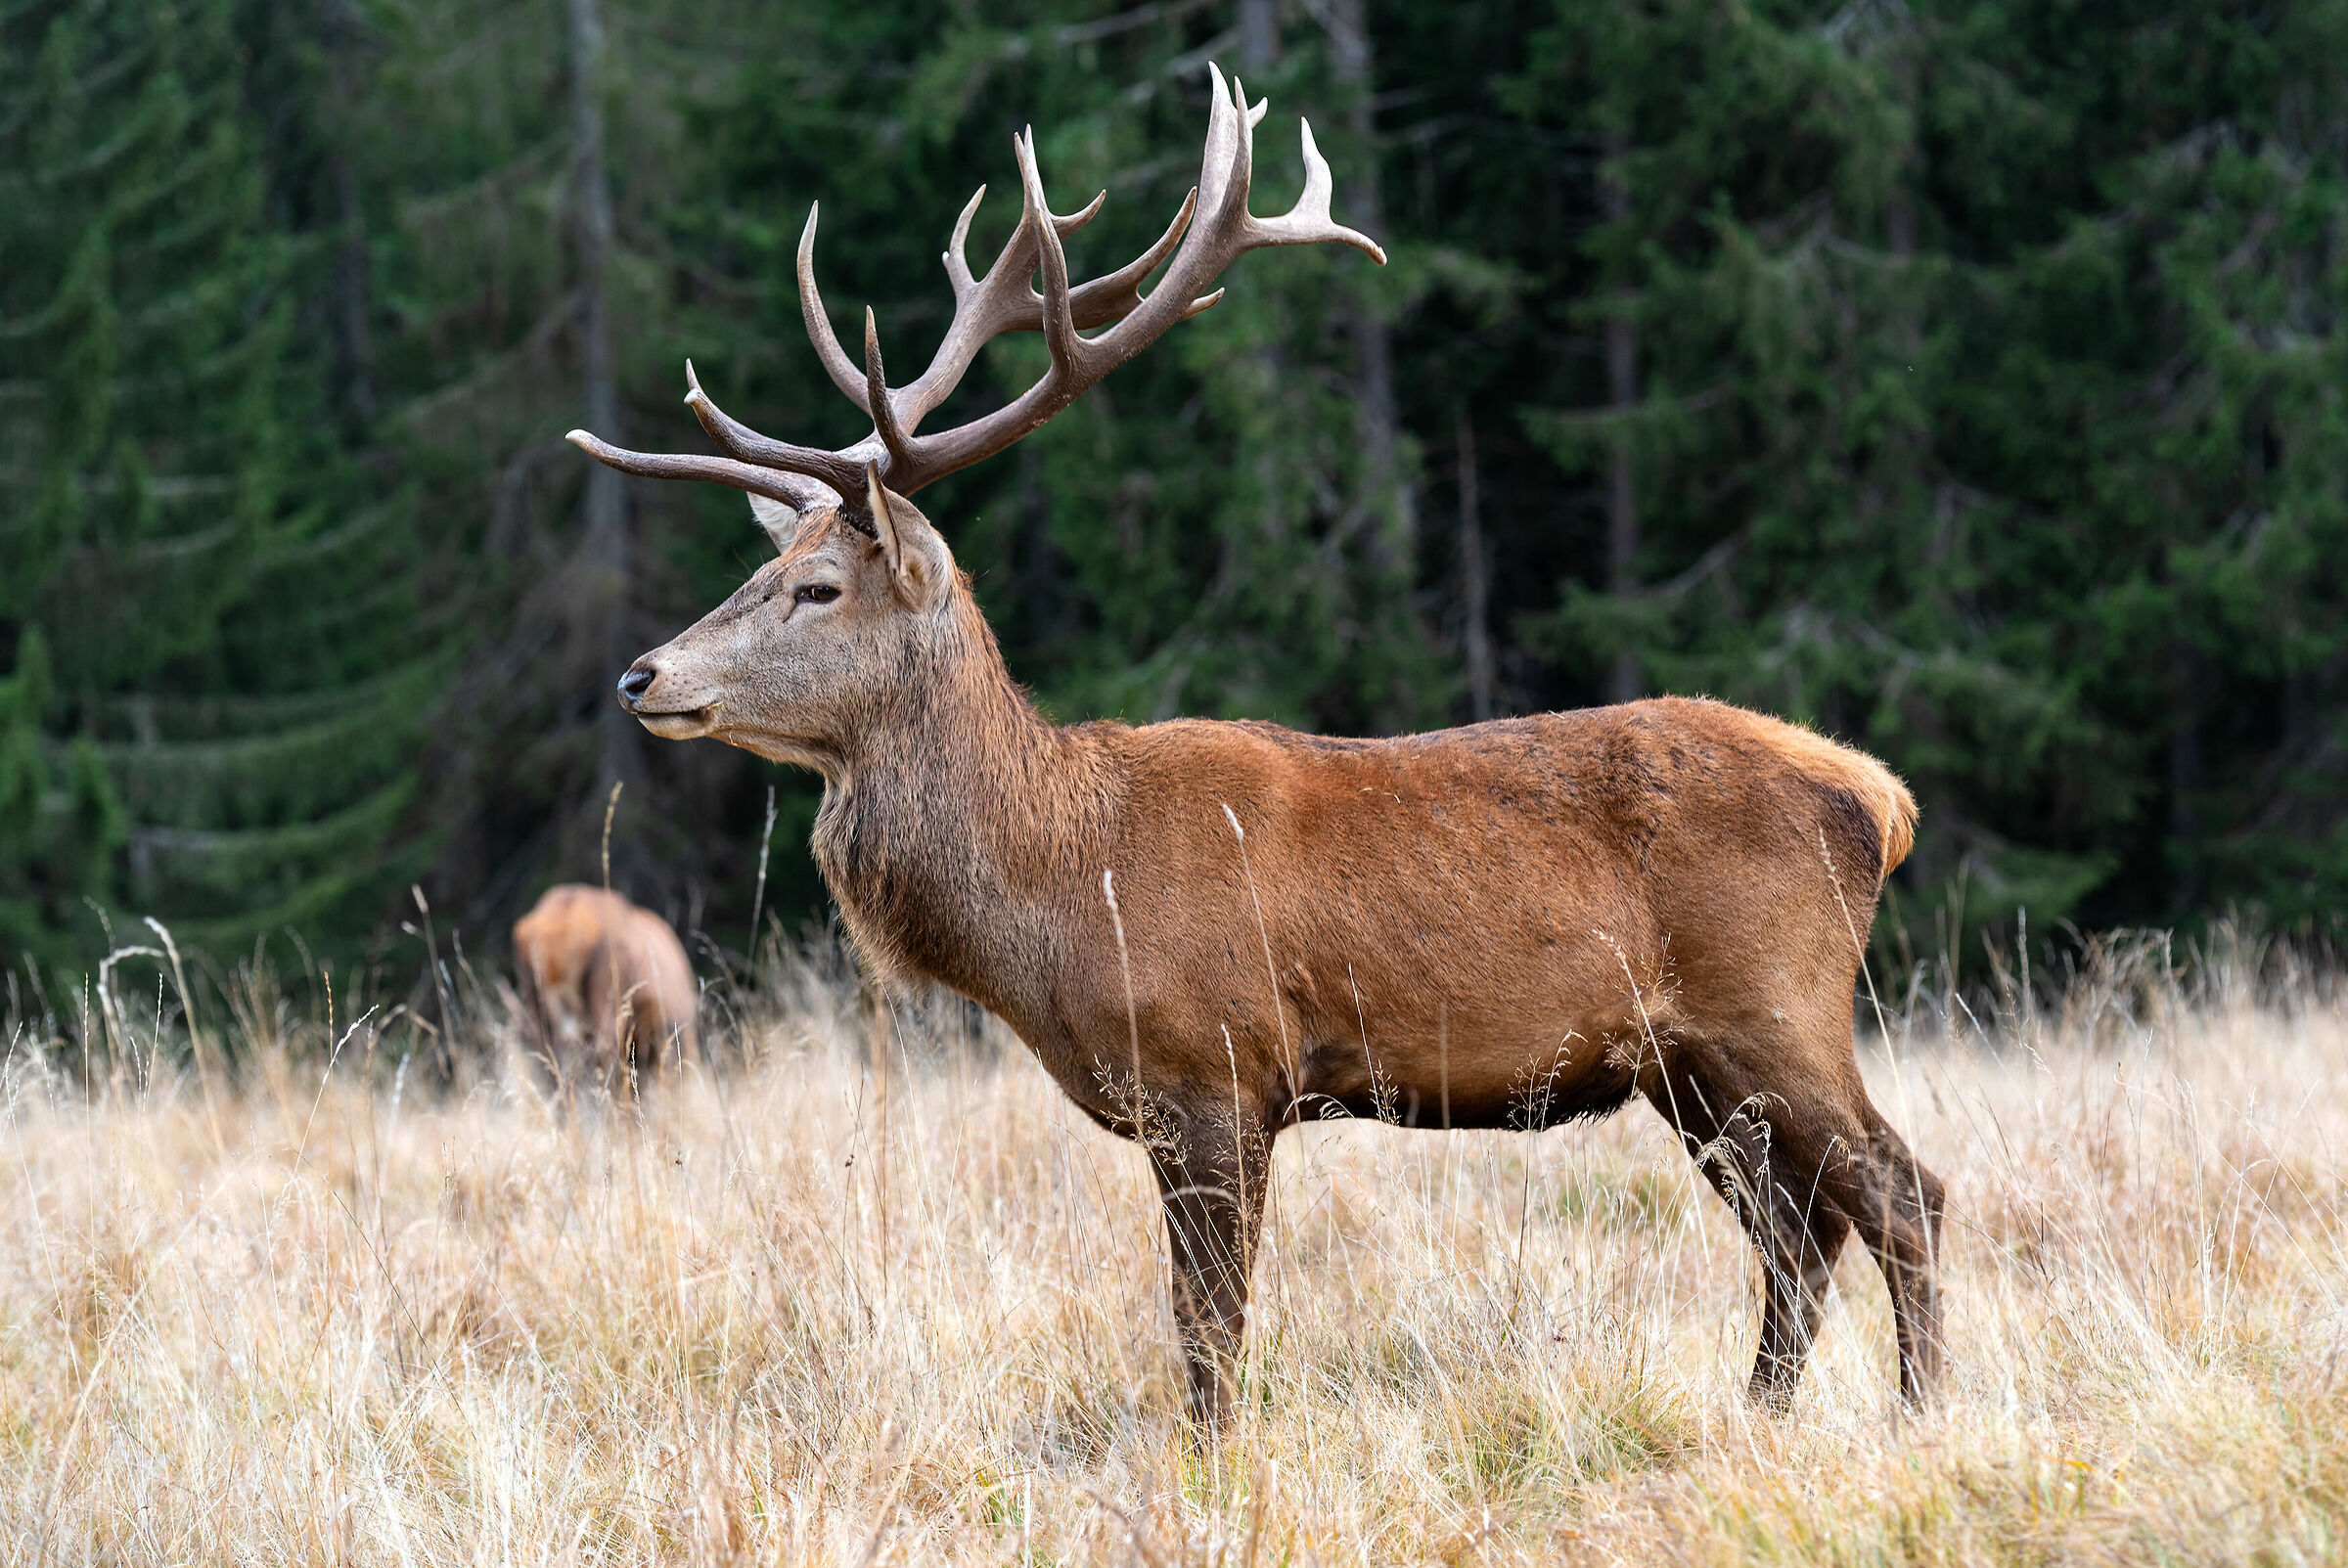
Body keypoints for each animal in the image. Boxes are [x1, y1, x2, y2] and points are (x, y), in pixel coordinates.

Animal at [565, 67, 1945, 1426]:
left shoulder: (1219, 1074)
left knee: (1901, 1193)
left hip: (1774, 1001)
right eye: (760, 569)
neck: (1063, 887)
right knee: (1797, 1231)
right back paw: (1759, 1418)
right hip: (1687, 1066)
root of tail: (1881, 797)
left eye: (817, 591)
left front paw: (1213, 1461)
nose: (641, 674)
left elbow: (1210, 1342)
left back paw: (1920, 1413)